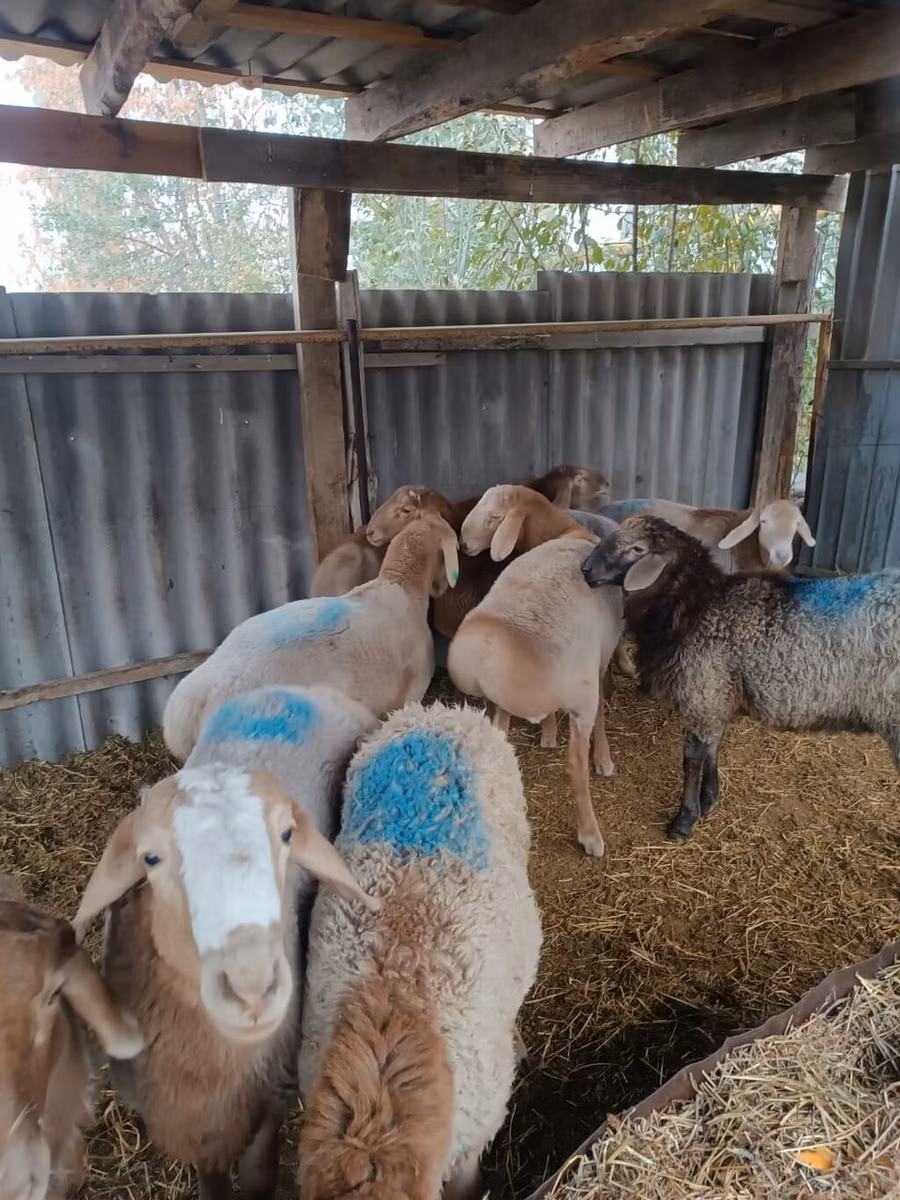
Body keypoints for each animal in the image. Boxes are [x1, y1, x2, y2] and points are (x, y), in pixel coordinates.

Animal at [73, 685, 379, 1200]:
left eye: (287, 834)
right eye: (150, 858)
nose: (252, 990)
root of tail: (297, 689)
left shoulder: (269, 1100)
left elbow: (256, 1177)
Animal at [449, 485, 624, 857]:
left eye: (493, 517)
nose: (464, 545)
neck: (568, 531)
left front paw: (547, 732)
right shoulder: (599, 664)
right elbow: (603, 714)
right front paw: (603, 758)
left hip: (498, 704)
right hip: (581, 691)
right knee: (575, 765)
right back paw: (590, 835)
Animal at [582, 514, 900, 843]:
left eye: (637, 549)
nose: (586, 570)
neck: (693, 604)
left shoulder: (702, 691)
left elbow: (692, 758)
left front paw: (685, 819)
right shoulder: (716, 694)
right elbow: (713, 746)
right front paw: (709, 798)